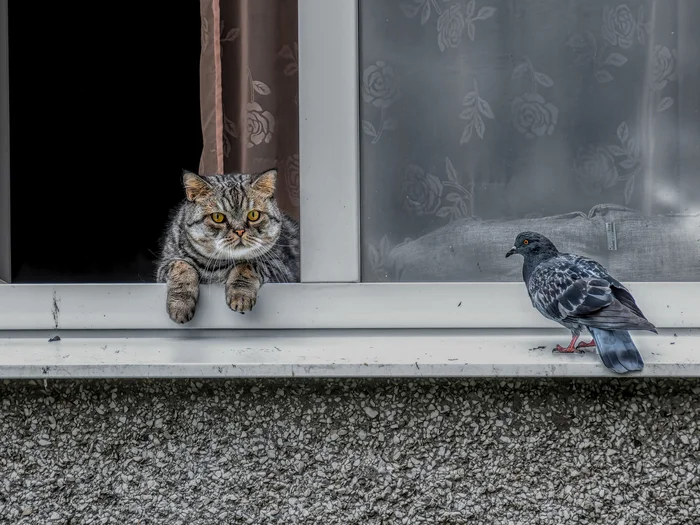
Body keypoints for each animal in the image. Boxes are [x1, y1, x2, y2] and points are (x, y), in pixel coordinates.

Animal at [157, 168, 300, 324]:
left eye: (254, 215)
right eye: (217, 217)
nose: (239, 231)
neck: (218, 267)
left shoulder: (281, 268)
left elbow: (246, 265)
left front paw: (240, 295)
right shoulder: (166, 263)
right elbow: (182, 267)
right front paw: (180, 305)